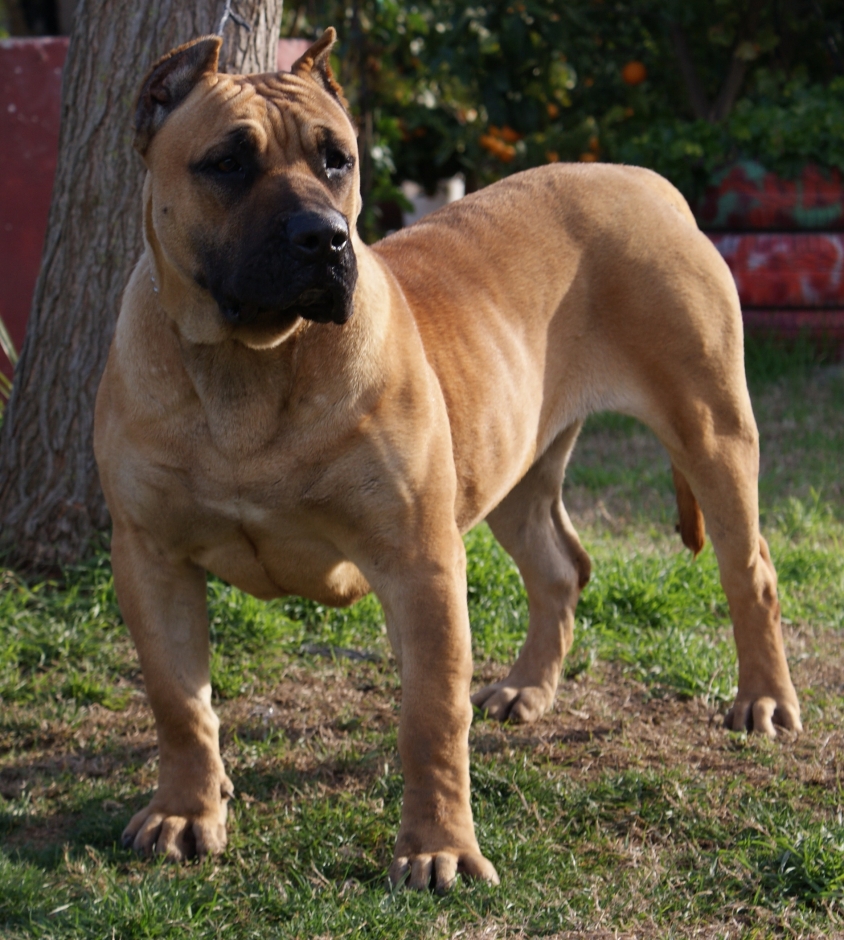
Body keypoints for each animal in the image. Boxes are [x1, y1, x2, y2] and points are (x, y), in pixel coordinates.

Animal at [95, 29, 800, 892]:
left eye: (337, 159)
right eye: (227, 161)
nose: (323, 237)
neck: (248, 365)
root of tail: (648, 183)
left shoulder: (419, 558)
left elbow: (431, 715)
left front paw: (438, 849)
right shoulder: (151, 557)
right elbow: (179, 700)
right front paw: (185, 811)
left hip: (710, 431)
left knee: (750, 569)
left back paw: (762, 702)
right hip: (519, 463)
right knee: (560, 568)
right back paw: (526, 690)